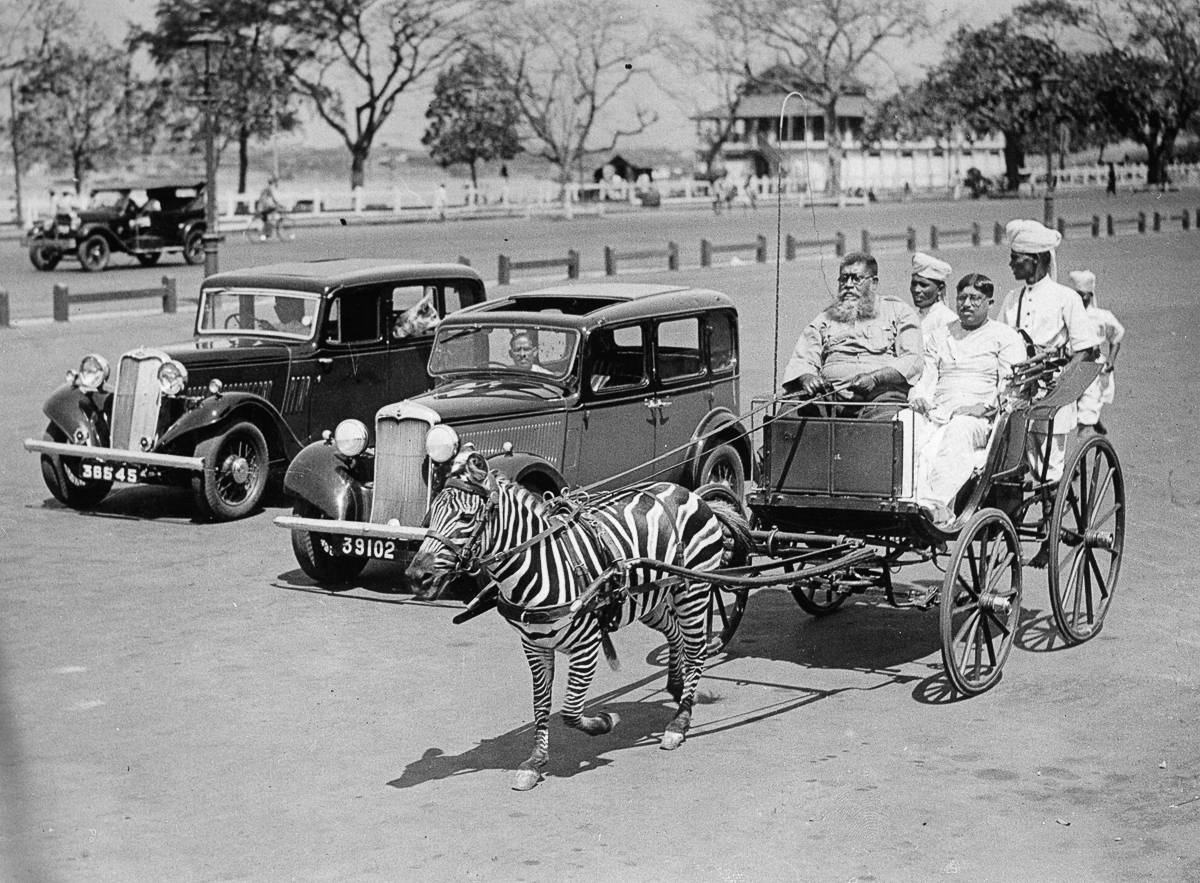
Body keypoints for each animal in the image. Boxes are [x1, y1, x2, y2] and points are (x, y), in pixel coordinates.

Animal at [410, 451, 748, 791]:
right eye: (429, 516)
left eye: (466, 518)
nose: (416, 577)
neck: (540, 566)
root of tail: (689, 492)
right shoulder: (534, 646)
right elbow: (541, 704)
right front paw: (535, 762)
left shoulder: (587, 644)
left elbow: (571, 711)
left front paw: (605, 722)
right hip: (652, 599)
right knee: (676, 636)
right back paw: (677, 689)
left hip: (693, 590)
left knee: (697, 649)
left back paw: (680, 721)